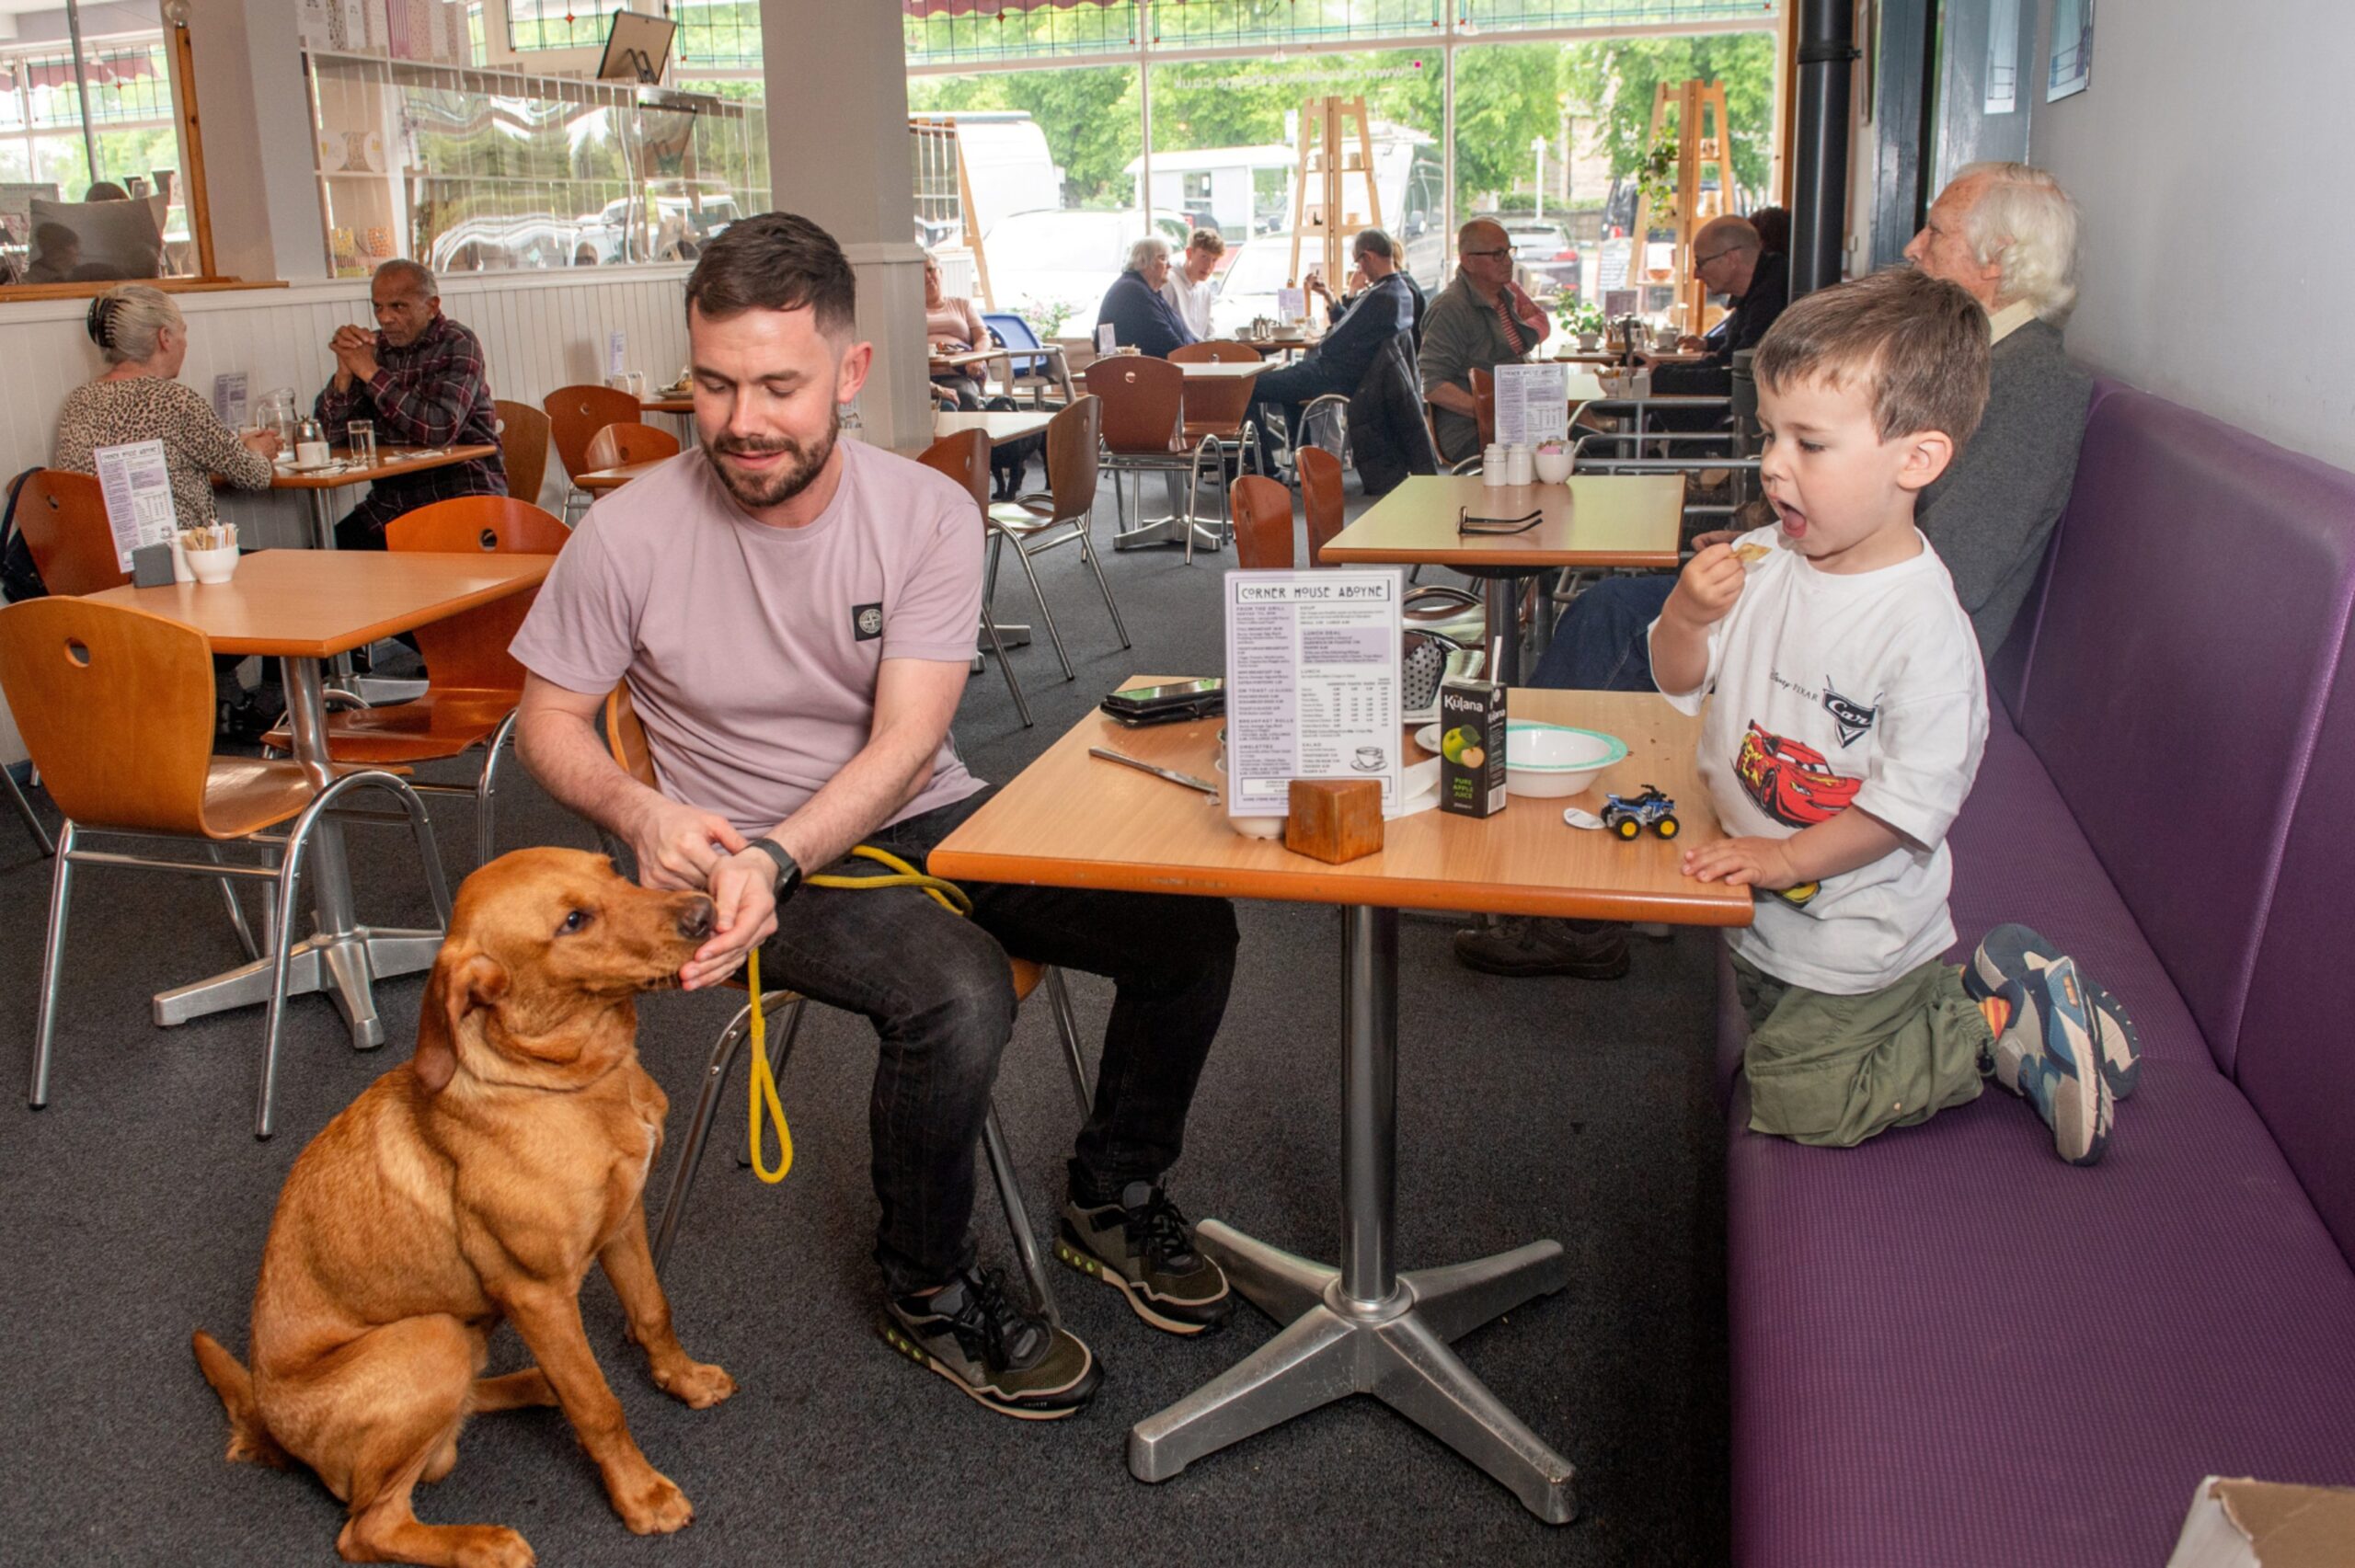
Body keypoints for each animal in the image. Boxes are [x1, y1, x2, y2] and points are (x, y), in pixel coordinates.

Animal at [194, 847, 734, 1562]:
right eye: (573, 920)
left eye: (613, 868)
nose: (705, 910)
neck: (578, 1084)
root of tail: (265, 1414)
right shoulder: (537, 1293)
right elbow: (599, 1405)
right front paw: (640, 1495)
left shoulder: (625, 1221)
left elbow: (652, 1313)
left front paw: (684, 1379)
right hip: (433, 1337)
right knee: (367, 1528)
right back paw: (482, 1543)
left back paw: (534, 1384)